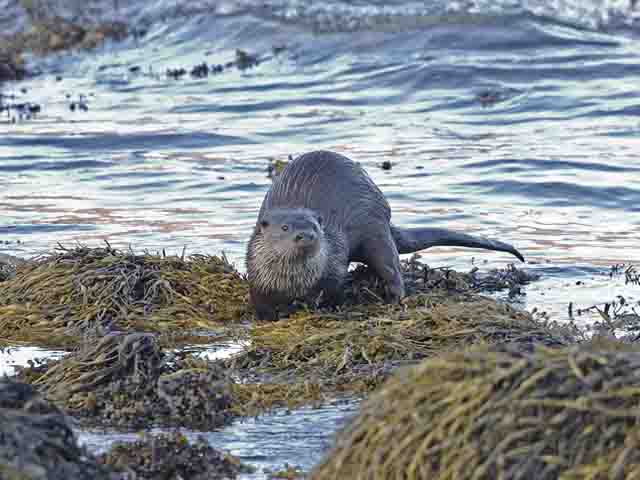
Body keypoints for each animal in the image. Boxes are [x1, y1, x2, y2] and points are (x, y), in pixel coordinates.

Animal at [246, 152, 524, 320]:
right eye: (285, 228)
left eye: (316, 225)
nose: (306, 235)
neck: (294, 281)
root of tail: (385, 213)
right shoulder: (257, 278)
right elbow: (261, 306)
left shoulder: (333, 265)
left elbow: (333, 291)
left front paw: (323, 307)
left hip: (375, 230)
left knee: (391, 266)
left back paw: (395, 299)